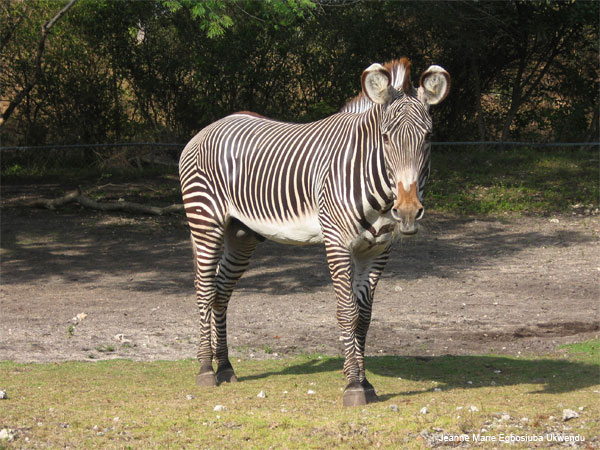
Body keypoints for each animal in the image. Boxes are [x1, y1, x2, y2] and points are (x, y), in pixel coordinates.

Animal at [180, 58, 448, 406]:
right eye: (386, 138)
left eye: (427, 137)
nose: (407, 211)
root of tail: (208, 128)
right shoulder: (337, 243)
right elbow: (347, 312)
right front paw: (353, 386)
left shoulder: (377, 249)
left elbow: (364, 316)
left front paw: (365, 383)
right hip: (205, 222)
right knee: (204, 290)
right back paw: (205, 370)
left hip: (241, 235)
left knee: (221, 293)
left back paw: (225, 367)